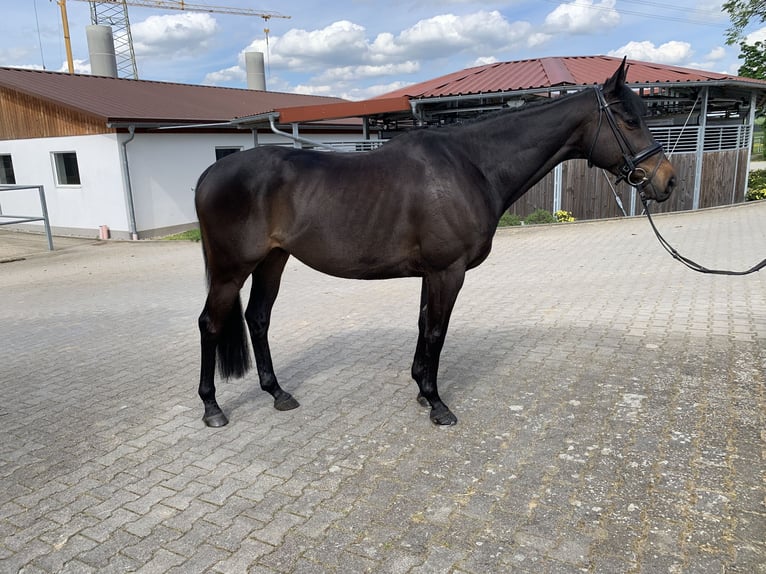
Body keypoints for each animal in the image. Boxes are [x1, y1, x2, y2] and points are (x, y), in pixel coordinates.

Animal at [194, 59, 680, 428]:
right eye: (630, 120)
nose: (667, 181)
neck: (471, 165)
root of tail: (210, 173)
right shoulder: (449, 271)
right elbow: (436, 331)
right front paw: (438, 403)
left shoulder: (432, 273)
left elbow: (424, 326)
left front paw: (420, 391)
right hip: (231, 270)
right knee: (210, 325)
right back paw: (213, 408)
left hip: (272, 261)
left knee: (258, 319)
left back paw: (278, 393)